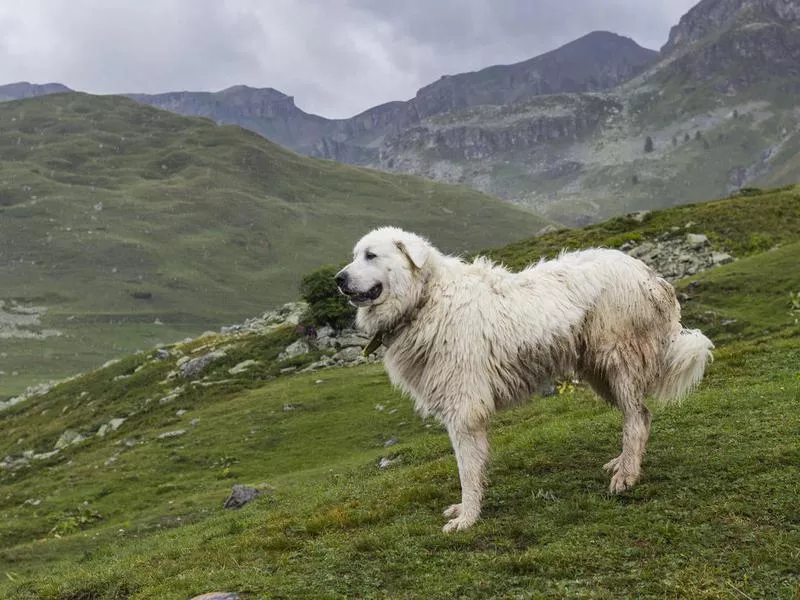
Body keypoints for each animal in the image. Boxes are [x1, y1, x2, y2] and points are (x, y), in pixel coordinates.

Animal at [334, 227, 716, 532]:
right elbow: (473, 467)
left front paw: (468, 518)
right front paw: (466, 510)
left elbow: (467, 470)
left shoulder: (464, 409)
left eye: (371, 255)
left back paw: (627, 476)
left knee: (636, 419)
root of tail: (649, 274)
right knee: (638, 415)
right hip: (600, 372)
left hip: (618, 361)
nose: (338, 279)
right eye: (354, 256)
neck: (425, 300)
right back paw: (623, 463)